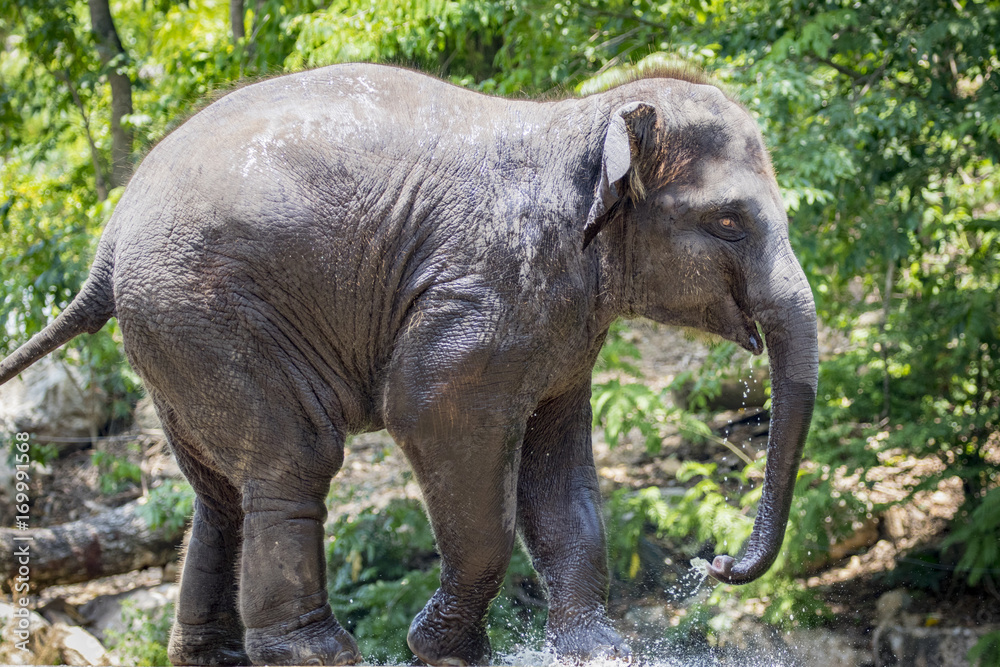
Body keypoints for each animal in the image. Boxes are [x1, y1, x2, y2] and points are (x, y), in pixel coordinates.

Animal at [0, 63, 818, 666]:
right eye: (728, 220)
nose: (715, 565)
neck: (585, 119)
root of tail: (108, 243)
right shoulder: (488, 292)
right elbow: (432, 415)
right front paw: (442, 648)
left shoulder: (562, 326)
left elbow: (562, 470)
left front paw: (599, 652)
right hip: (206, 311)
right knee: (294, 457)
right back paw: (317, 652)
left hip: (170, 335)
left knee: (219, 493)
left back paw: (213, 656)